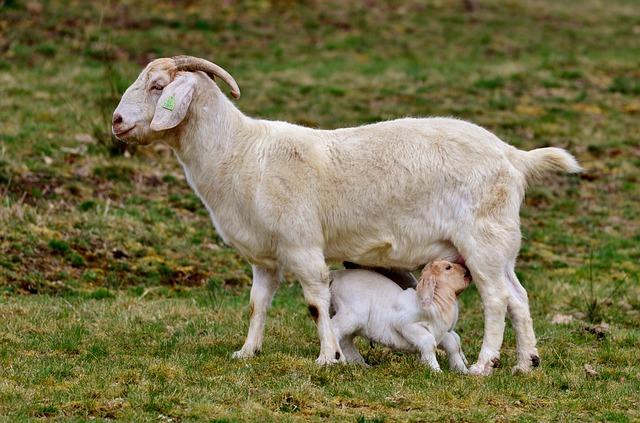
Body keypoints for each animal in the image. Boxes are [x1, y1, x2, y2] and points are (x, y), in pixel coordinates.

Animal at [112, 57, 584, 378]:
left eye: (157, 86)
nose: (116, 122)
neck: (242, 152)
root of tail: (514, 156)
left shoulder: (302, 244)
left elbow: (316, 303)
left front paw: (328, 357)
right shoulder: (265, 256)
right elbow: (257, 303)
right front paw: (247, 352)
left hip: (482, 242)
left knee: (497, 300)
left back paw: (485, 365)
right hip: (500, 244)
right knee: (519, 297)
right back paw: (526, 363)